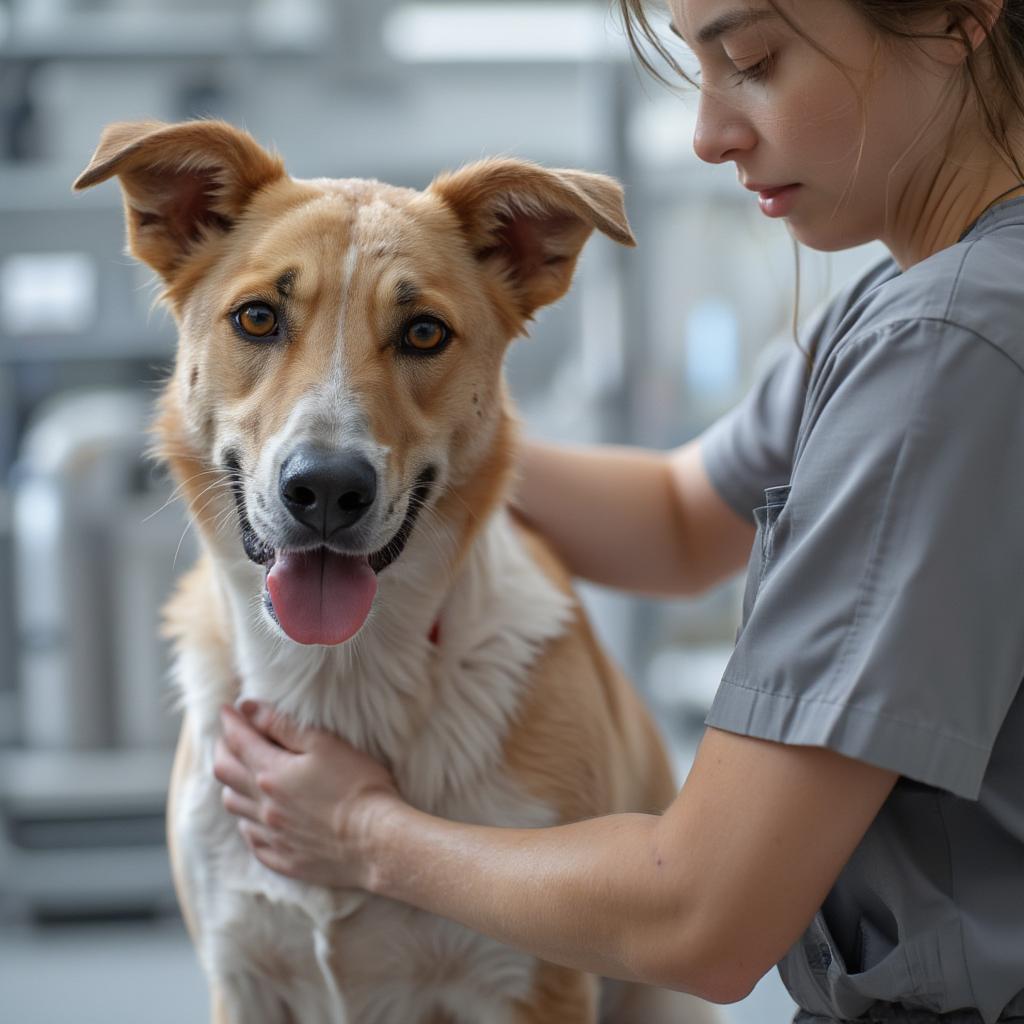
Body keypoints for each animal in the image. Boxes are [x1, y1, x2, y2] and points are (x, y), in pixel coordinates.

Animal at [74, 121, 720, 1024]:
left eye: (423, 334)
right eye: (257, 317)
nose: (324, 488)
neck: (339, 677)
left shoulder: (531, 984)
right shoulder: (241, 973)